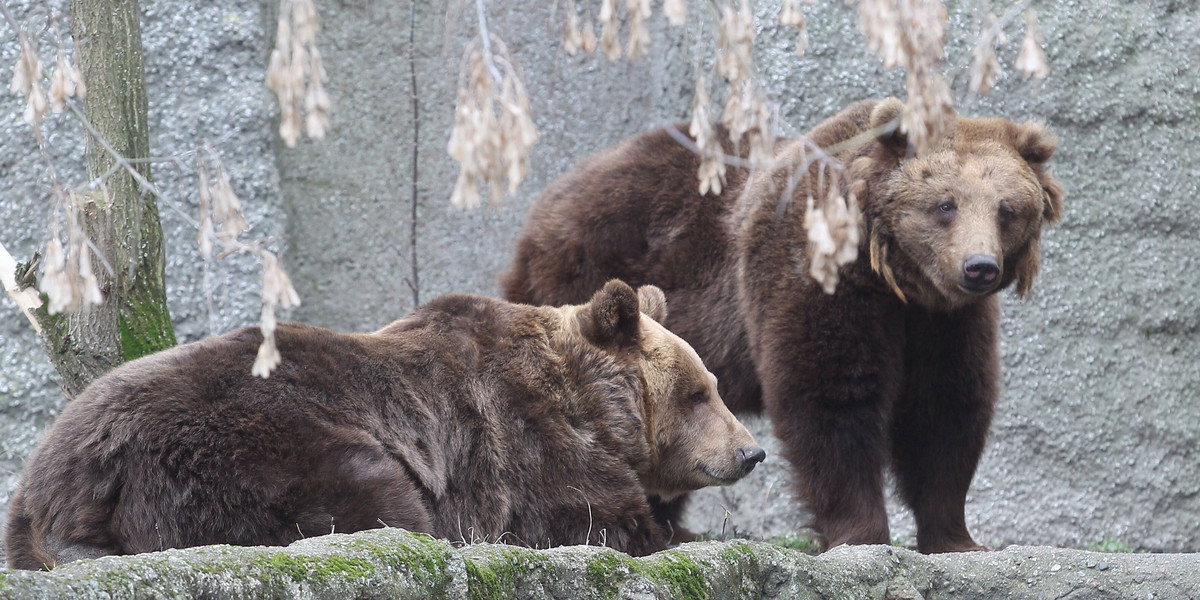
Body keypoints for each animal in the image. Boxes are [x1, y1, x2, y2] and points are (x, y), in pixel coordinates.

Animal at [4, 278, 763, 568]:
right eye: (700, 393)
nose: (751, 453)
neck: (592, 406)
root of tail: (55, 476)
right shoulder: (523, 442)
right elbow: (592, 517)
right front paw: (674, 529)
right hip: (248, 444)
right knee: (374, 495)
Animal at [501, 97, 1065, 552]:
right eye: (945, 205)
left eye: (1007, 209)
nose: (979, 267)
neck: (892, 278)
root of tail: (550, 198)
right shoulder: (812, 272)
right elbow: (831, 397)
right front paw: (861, 533)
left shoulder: (945, 323)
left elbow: (946, 408)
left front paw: (957, 538)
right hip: (586, 280)